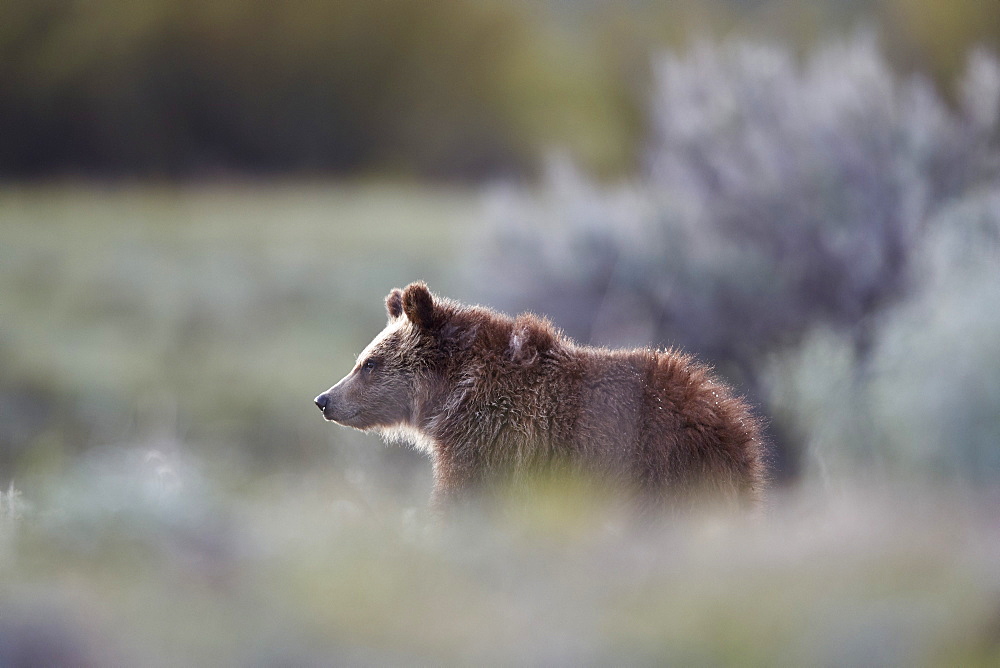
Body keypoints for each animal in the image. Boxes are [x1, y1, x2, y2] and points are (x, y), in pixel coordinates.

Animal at [312, 282, 764, 512]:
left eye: (369, 363)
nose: (324, 399)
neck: (455, 393)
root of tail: (729, 418)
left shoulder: (490, 439)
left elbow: (465, 496)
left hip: (658, 466)